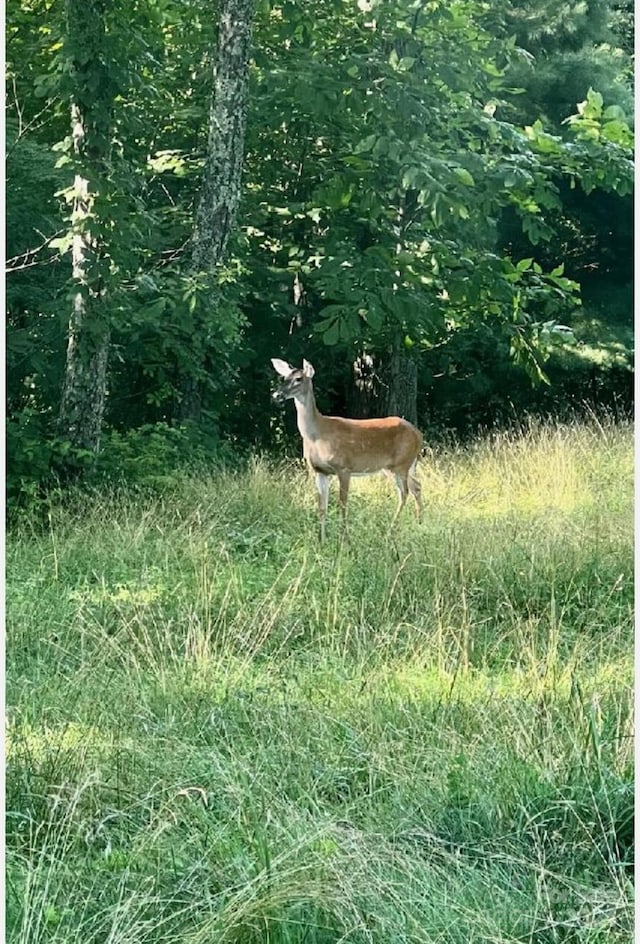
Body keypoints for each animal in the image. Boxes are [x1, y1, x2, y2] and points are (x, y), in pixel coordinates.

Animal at [272, 358, 424, 544]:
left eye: (299, 379)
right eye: (284, 377)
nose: (276, 395)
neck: (317, 435)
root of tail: (418, 434)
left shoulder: (344, 467)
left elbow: (342, 503)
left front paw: (345, 540)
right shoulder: (320, 471)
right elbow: (321, 507)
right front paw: (321, 540)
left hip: (401, 464)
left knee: (404, 492)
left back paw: (390, 532)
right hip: (395, 466)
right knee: (417, 486)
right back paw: (419, 523)